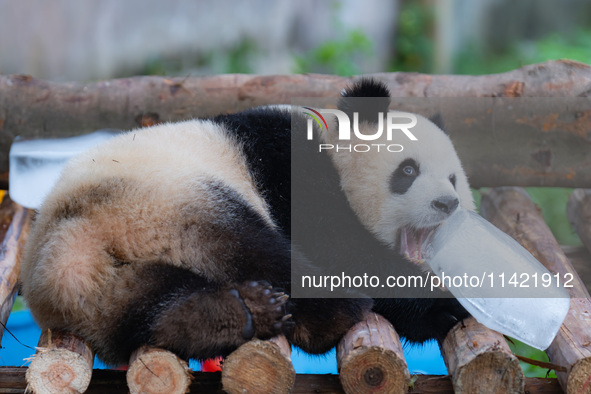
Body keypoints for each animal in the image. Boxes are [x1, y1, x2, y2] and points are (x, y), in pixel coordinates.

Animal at [20, 79, 476, 366]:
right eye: (408, 171)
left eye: (454, 178)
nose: (447, 203)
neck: (332, 140)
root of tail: (70, 238)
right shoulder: (290, 167)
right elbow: (342, 248)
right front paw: (447, 305)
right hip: (176, 199)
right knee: (257, 249)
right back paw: (330, 312)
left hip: (101, 295)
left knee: (147, 303)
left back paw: (215, 315)